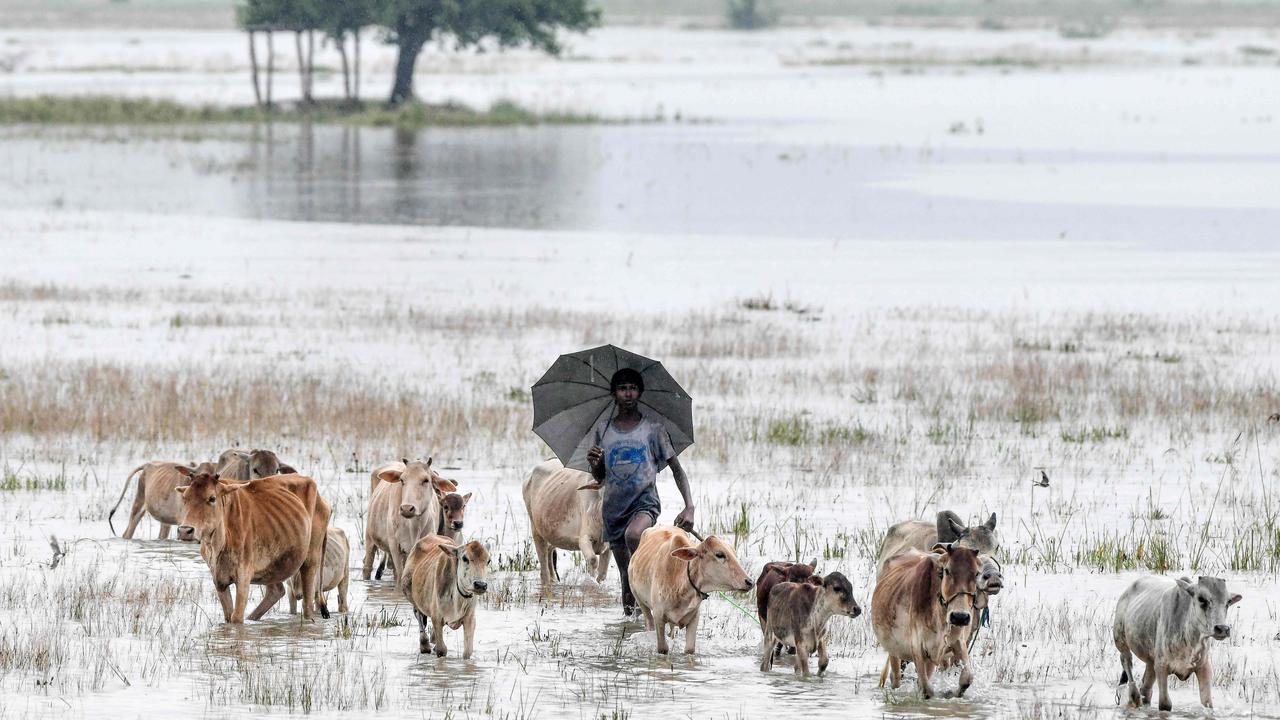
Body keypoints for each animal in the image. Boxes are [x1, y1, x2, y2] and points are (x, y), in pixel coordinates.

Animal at [175, 468, 335, 620]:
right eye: (185, 498)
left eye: (212, 498)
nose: (185, 530)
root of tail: (322, 500)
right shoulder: (219, 580)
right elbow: (228, 616)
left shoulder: (243, 578)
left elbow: (236, 618)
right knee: (276, 591)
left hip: (310, 560)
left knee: (307, 604)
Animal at [519, 456, 609, 586]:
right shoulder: (584, 539)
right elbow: (592, 561)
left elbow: (602, 574)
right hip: (536, 530)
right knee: (544, 569)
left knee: (550, 552)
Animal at [627, 525, 752, 653]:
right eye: (719, 554)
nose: (749, 582)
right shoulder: (658, 617)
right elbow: (663, 649)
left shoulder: (694, 618)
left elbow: (689, 649)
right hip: (639, 600)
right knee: (648, 621)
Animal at [870, 543, 977, 696]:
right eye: (947, 571)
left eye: (977, 573)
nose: (959, 617)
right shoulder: (917, 646)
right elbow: (927, 689)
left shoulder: (958, 642)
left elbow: (966, 679)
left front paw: (952, 693)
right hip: (893, 650)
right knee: (895, 677)